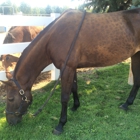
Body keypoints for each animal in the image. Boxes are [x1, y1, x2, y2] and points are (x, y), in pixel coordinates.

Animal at [1, 8, 140, 135]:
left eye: (10, 98)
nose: (10, 121)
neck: (54, 37)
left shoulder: (67, 68)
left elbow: (64, 97)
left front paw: (60, 124)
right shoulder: (72, 68)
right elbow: (74, 87)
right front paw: (75, 106)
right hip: (136, 55)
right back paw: (126, 104)